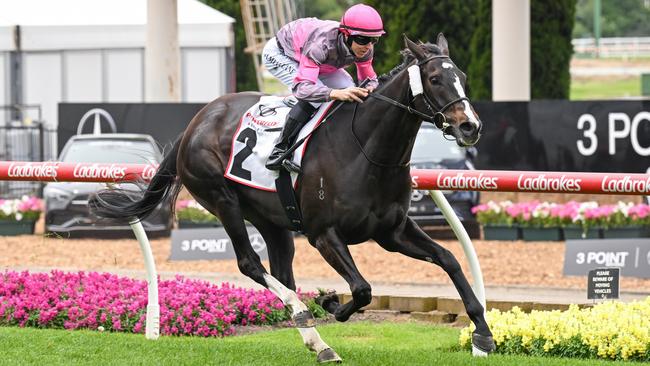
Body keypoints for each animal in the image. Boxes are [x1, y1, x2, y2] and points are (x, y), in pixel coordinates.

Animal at [91, 35, 494, 362]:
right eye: (435, 79)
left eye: (462, 77)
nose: (470, 126)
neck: (366, 149)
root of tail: (195, 123)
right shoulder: (324, 234)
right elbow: (362, 289)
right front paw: (330, 302)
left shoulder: (391, 232)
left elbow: (449, 260)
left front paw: (483, 334)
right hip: (222, 199)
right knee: (250, 264)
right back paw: (304, 315)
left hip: (273, 220)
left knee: (282, 272)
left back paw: (318, 342)